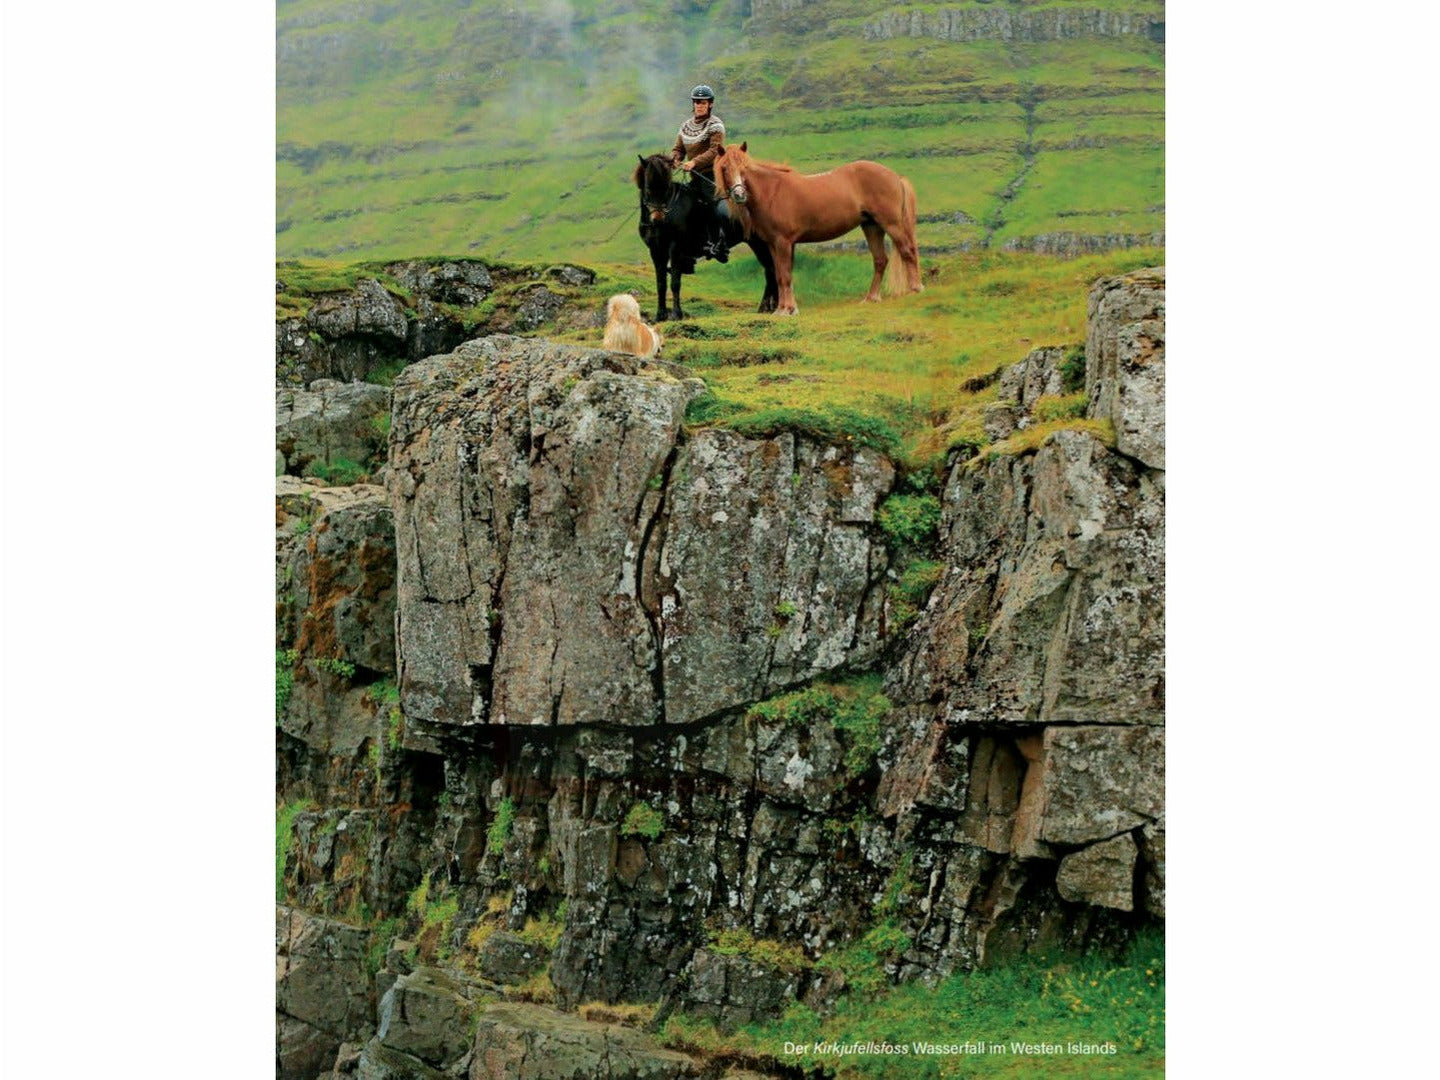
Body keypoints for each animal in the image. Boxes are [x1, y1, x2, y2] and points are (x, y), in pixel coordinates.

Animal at [632, 153, 779, 321]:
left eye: (667, 188)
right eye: (648, 189)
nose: (658, 219)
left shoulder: (675, 248)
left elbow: (675, 282)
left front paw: (676, 314)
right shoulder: (656, 251)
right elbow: (661, 283)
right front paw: (660, 315)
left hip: (761, 244)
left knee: (771, 270)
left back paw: (772, 307)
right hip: (757, 244)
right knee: (770, 270)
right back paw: (767, 308)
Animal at [712, 142, 923, 316]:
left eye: (745, 168)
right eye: (725, 168)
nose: (739, 194)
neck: (771, 192)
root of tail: (896, 177)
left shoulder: (783, 242)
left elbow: (785, 275)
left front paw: (788, 310)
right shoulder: (773, 244)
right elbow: (779, 275)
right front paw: (782, 309)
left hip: (891, 224)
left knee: (907, 251)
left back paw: (915, 289)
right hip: (871, 226)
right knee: (880, 260)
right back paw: (871, 298)